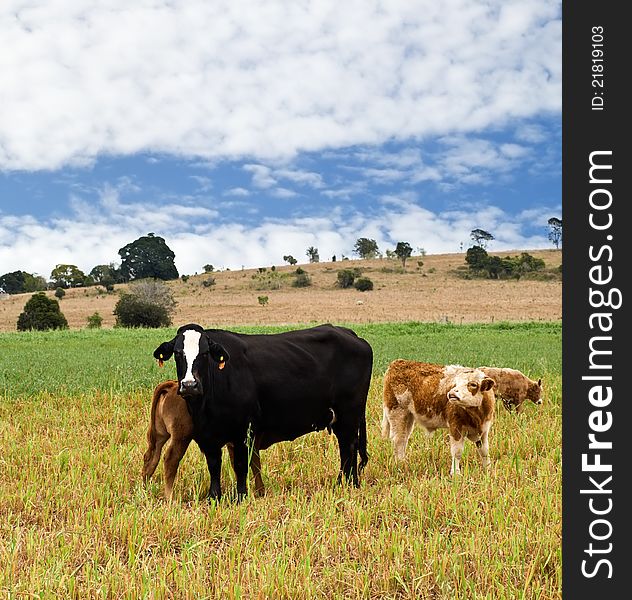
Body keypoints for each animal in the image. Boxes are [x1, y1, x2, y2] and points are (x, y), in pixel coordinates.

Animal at [152, 324, 370, 502]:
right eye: (177, 353)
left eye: (204, 353)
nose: (190, 385)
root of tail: (348, 333)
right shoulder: (208, 436)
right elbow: (214, 465)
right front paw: (214, 497)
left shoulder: (243, 431)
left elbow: (240, 465)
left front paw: (241, 497)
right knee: (348, 450)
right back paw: (346, 483)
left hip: (349, 416)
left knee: (348, 448)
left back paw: (348, 484)